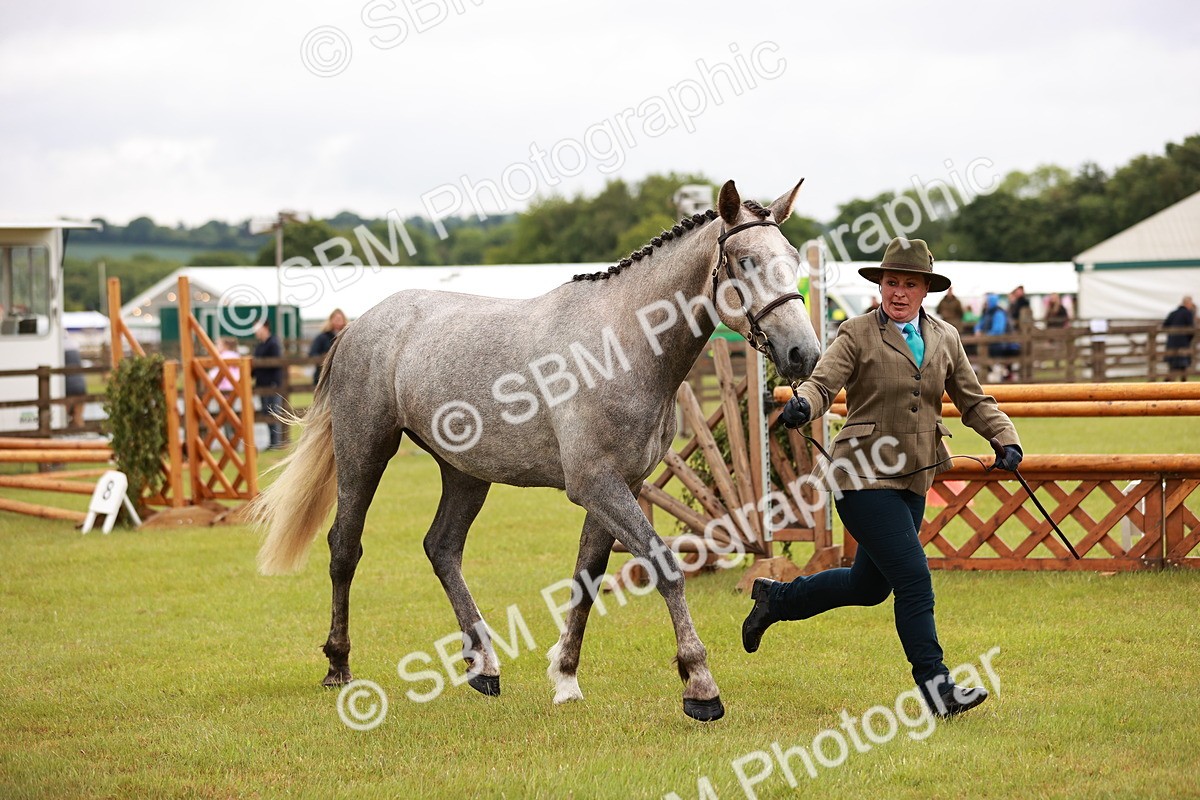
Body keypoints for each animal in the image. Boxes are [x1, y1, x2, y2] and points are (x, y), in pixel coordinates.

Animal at [251, 179, 822, 721]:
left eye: (794, 258)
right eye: (745, 260)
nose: (804, 353)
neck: (623, 345)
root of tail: (360, 324)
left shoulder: (621, 485)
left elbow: (588, 577)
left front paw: (565, 677)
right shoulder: (596, 485)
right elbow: (664, 566)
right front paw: (700, 686)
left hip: (465, 472)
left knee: (442, 548)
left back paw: (483, 666)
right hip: (364, 450)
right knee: (345, 548)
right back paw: (339, 665)